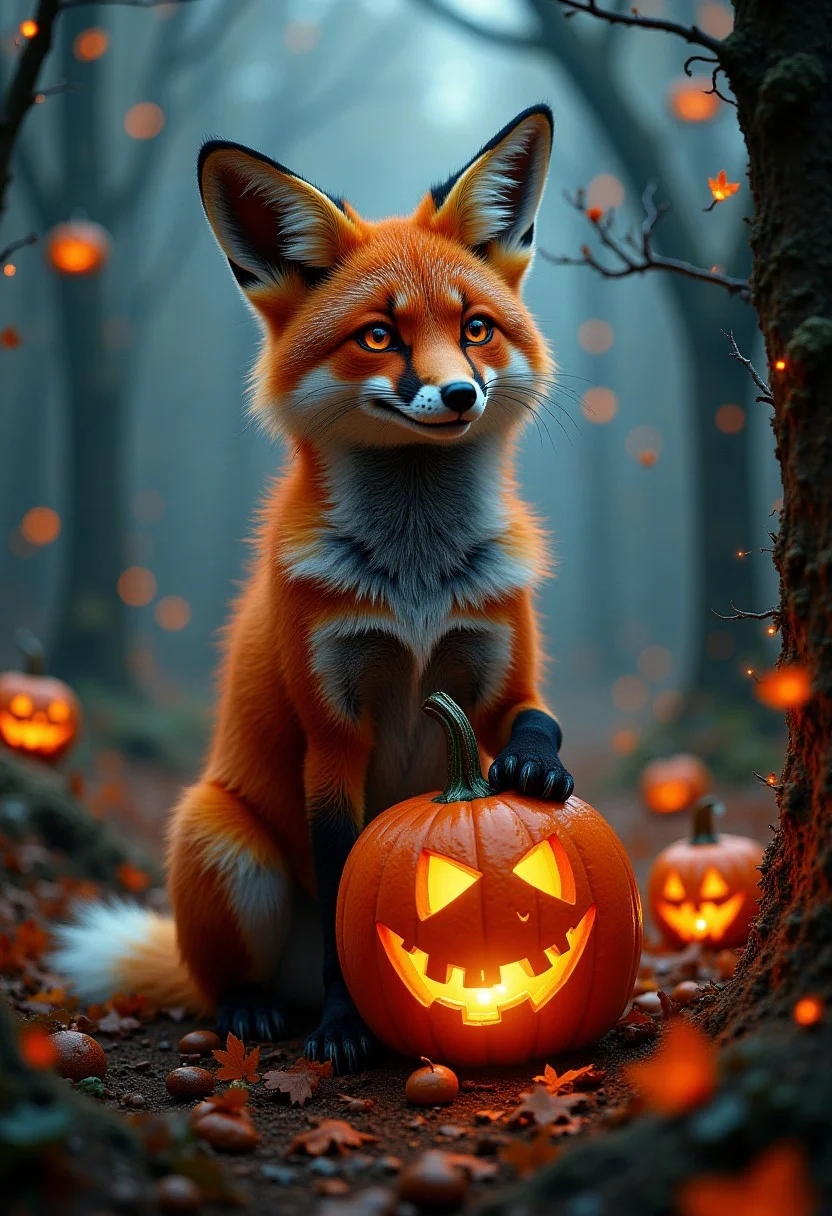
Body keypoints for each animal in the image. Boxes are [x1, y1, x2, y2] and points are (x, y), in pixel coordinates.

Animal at [52, 105, 575, 1075]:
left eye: (476, 328)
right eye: (379, 336)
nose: (459, 393)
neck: (417, 586)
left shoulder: (495, 671)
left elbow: (534, 720)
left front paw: (535, 770)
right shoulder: (334, 732)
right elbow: (343, 905)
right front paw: (344, 1029)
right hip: (223, 843)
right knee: (222, 982)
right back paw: (258, 1011)